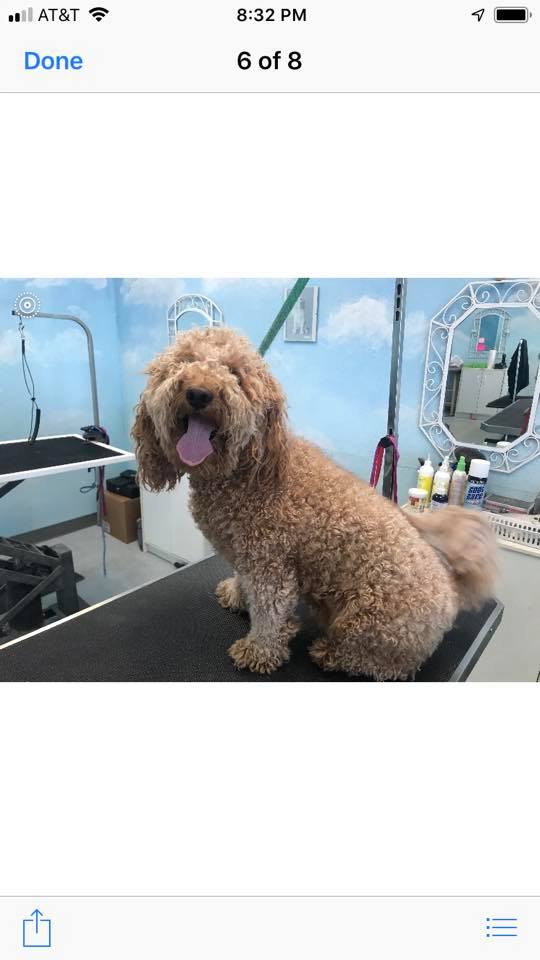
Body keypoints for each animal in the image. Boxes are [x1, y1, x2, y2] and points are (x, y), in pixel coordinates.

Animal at [132, 326, 497, 679]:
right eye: (184, 361)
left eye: (235, 373)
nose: (199, 392)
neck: (246, 470)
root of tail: (451, 592)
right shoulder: (243, 553)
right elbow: (243, 580)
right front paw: (237, 595)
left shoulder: (270, 563)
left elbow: (270, 611)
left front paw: (259, 651)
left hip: (370, 622)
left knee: (387, 666)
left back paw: (331, 654)